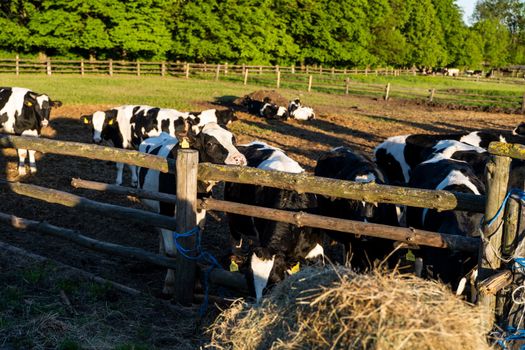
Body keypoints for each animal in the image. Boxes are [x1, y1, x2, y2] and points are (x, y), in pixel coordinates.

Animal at [137, 121, 248, 294]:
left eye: (233, 140)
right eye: (210, 144)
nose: (240, 159)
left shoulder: (200, 214)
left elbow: (194, 249)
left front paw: (196, 284)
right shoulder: (166, 211)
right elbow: (171, 252)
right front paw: (169, 284)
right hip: (152, 207)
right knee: (159, 230)